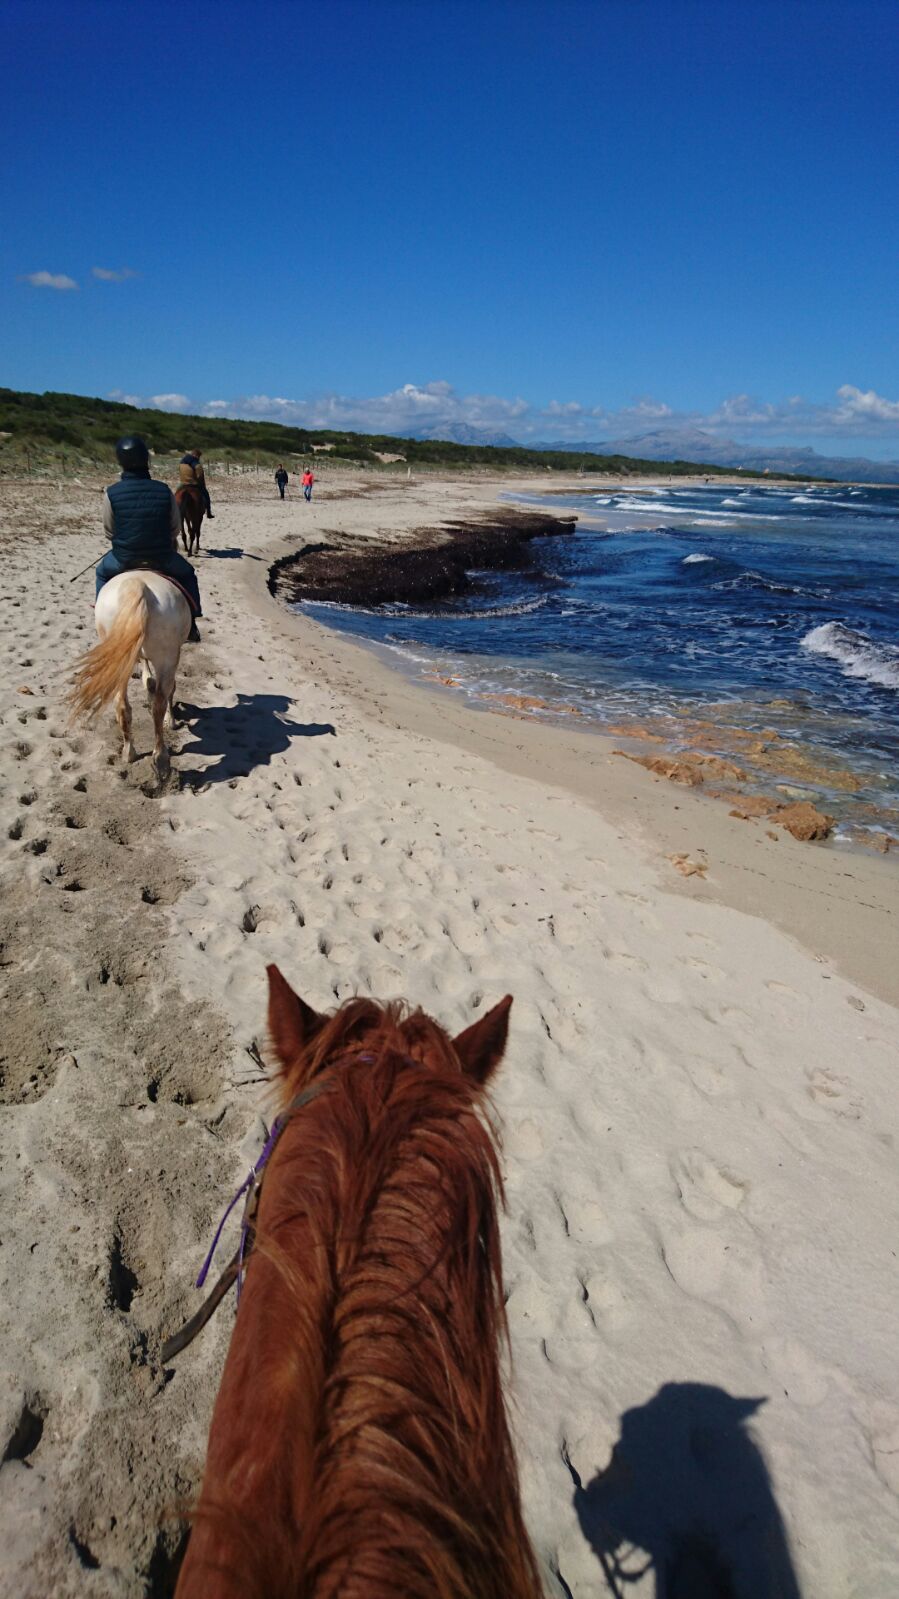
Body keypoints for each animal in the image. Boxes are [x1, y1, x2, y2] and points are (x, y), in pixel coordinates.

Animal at [71, 572, 192, 777]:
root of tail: (137, 584)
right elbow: (167, 689)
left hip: (121, 660)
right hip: (167, 659)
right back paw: (161, 758)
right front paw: (172, 721)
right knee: (159, 703)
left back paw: (129, 752)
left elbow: (148, 679)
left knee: (122, 704)